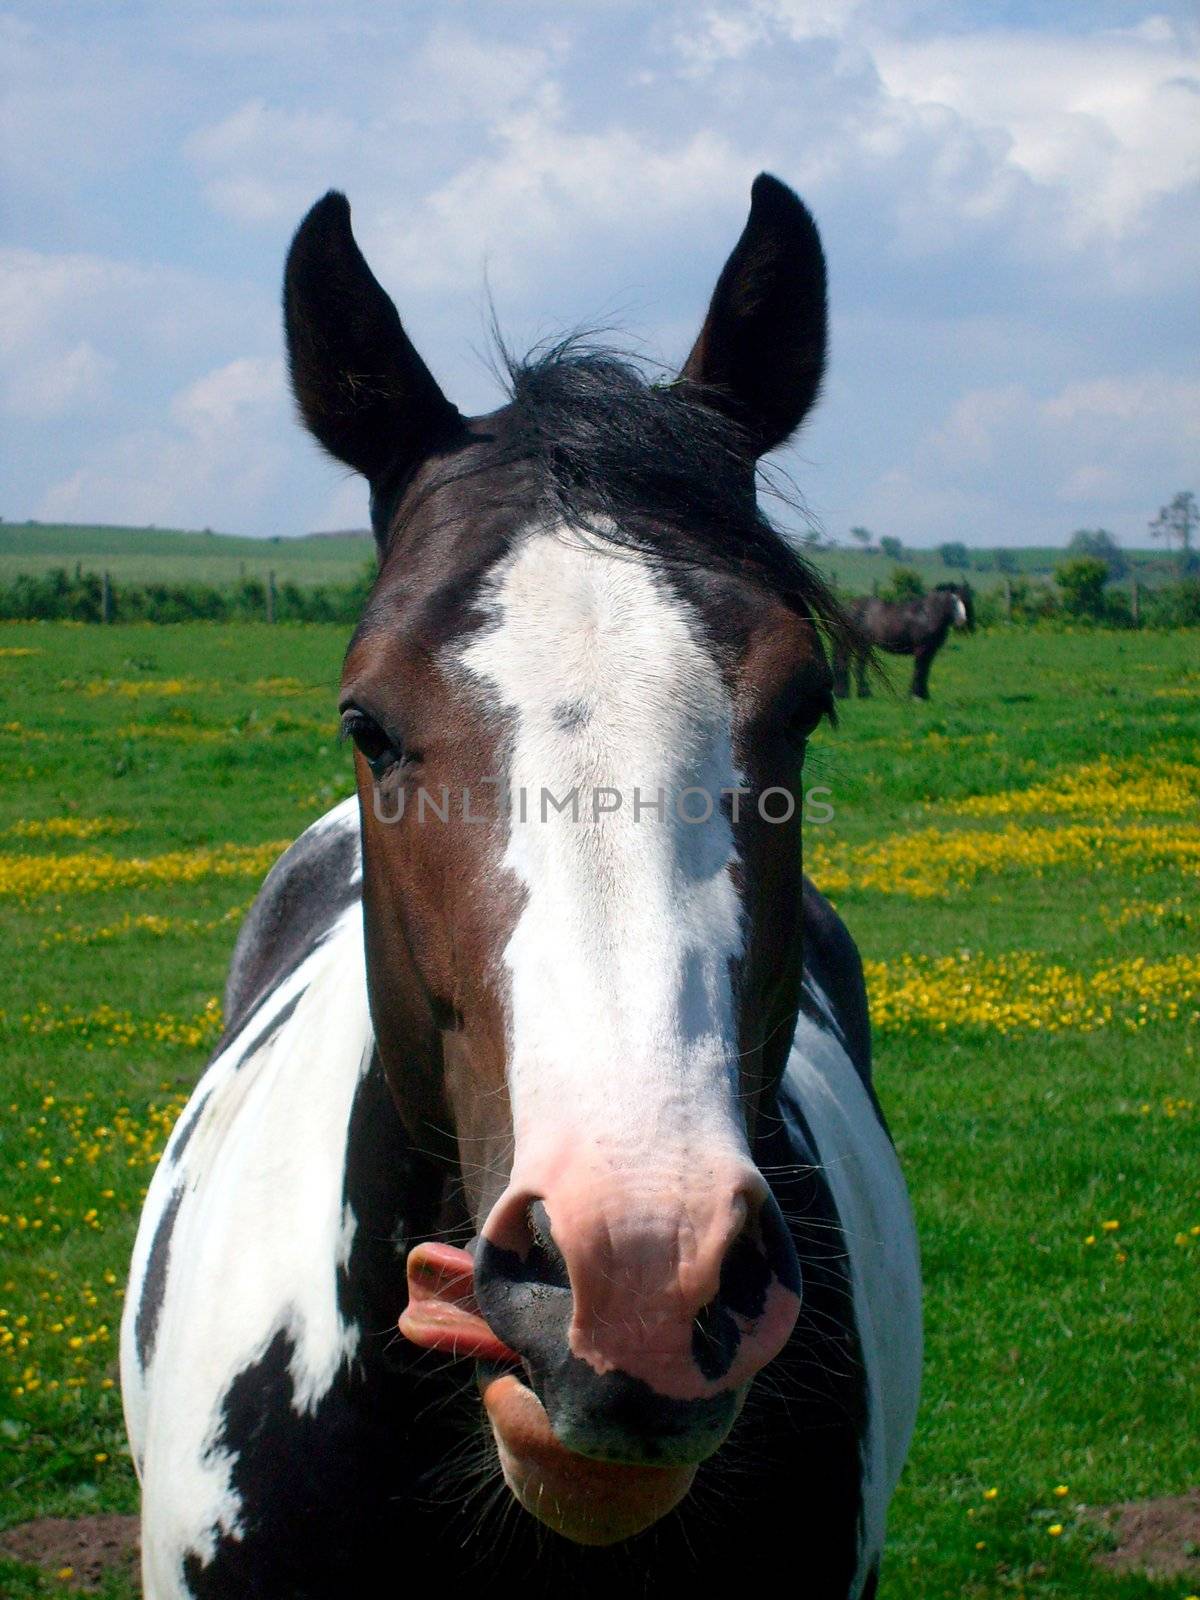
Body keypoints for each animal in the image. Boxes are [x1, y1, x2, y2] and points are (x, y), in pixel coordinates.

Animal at [838, 579, 979, 697]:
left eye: (966, 600)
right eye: (953, 600)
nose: (962, 620)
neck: (927, 616)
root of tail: (850, 606)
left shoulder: (931, 652)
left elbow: (925, 671)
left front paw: (924, 695)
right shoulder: (921, 650)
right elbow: (919, 670)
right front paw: (915, 695)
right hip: (862, 644)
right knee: (858, 666)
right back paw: (862, 693)